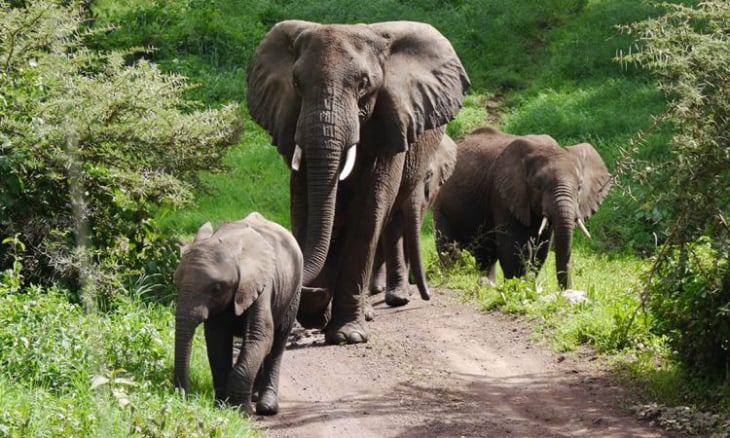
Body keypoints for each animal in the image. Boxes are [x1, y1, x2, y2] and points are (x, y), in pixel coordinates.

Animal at [173, 212, 303, 416]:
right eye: (176, 284)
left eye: (216, 288)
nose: (184, 397)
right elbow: (217, 340)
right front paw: (221, 405)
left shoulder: (262, 285)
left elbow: (260, 335)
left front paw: (240, 411)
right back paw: (254, 397)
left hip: (294, 290)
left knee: (278, 340)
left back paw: (266, 407)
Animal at [371, 133, 458, 307]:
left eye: (429, 175)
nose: (428, 296)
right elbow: (394, 227)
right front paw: (398, 298)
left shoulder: (431, 193)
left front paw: (406, 293)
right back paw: (377, 288)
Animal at [432, 127, 611, 290]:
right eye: (538, 185)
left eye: (580, 187)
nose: (566, 291)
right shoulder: (503, 194)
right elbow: (513, 247)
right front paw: (520, 286)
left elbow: (542, 249)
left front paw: (529, 284)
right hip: (440, 201)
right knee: (447, 245)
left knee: (485, 252)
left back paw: (487, 283)